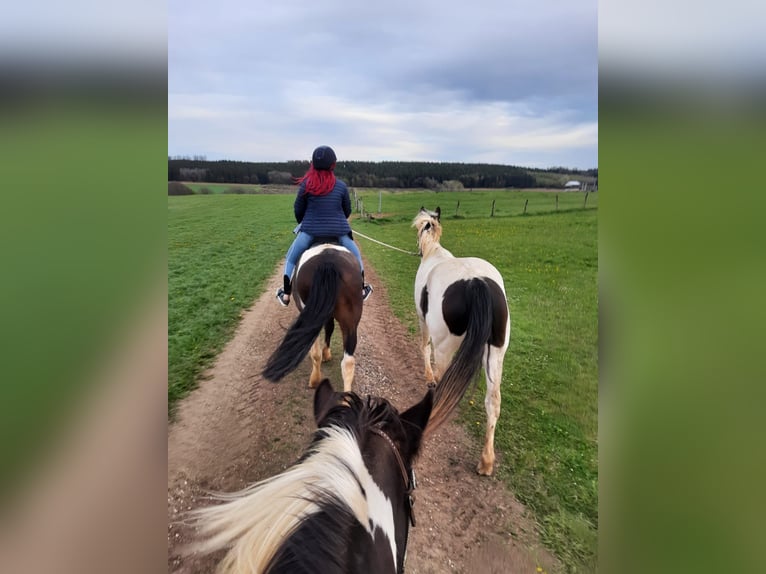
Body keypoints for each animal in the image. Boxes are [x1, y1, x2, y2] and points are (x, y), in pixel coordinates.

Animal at [262, 243, 364, 396]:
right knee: (348, 362)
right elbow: (329, 328)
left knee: (315, 353)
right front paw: (327, 353)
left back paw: (314, 380)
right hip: (350, 320)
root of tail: (329, 262)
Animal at [412, 207, 512, 476]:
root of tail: (476, 282)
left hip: (446, 347)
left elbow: (424, 347)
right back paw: (486, 461)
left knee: (442, 381)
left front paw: (427, 376)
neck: (434, 252)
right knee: (493, 402)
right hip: (496, 353)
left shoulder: (423, 321)